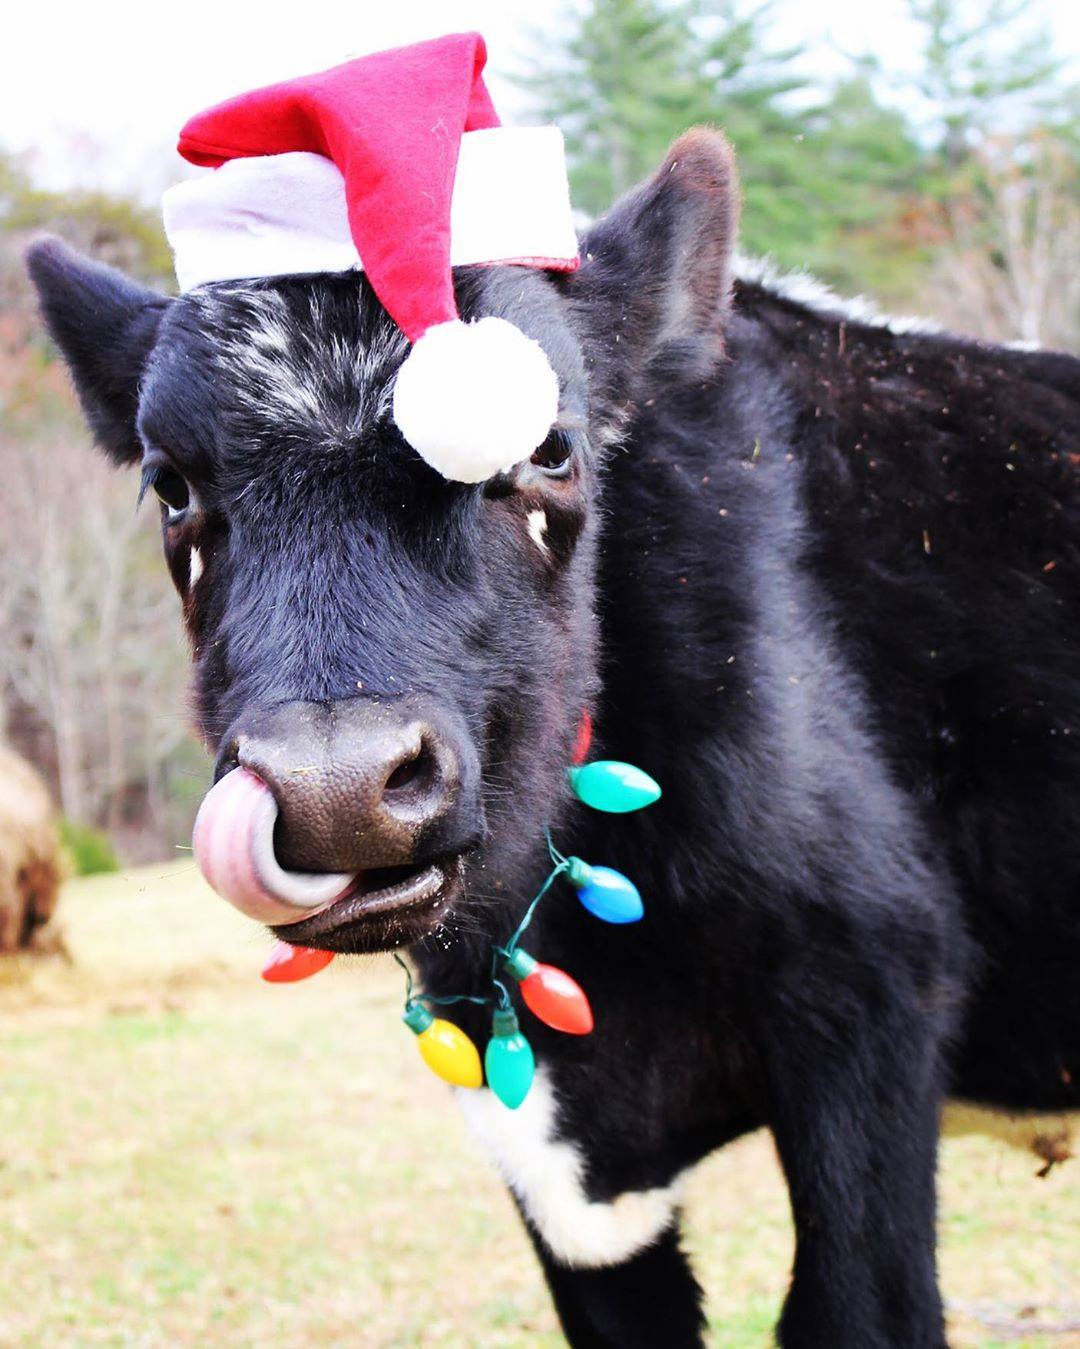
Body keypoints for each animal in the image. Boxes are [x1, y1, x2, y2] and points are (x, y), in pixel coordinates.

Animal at [28, 128, 1080, 1348]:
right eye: (171, 485)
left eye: (552, 450)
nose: (335, 785)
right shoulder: (545, 1148)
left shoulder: (874, 990)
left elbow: (858, 1307)